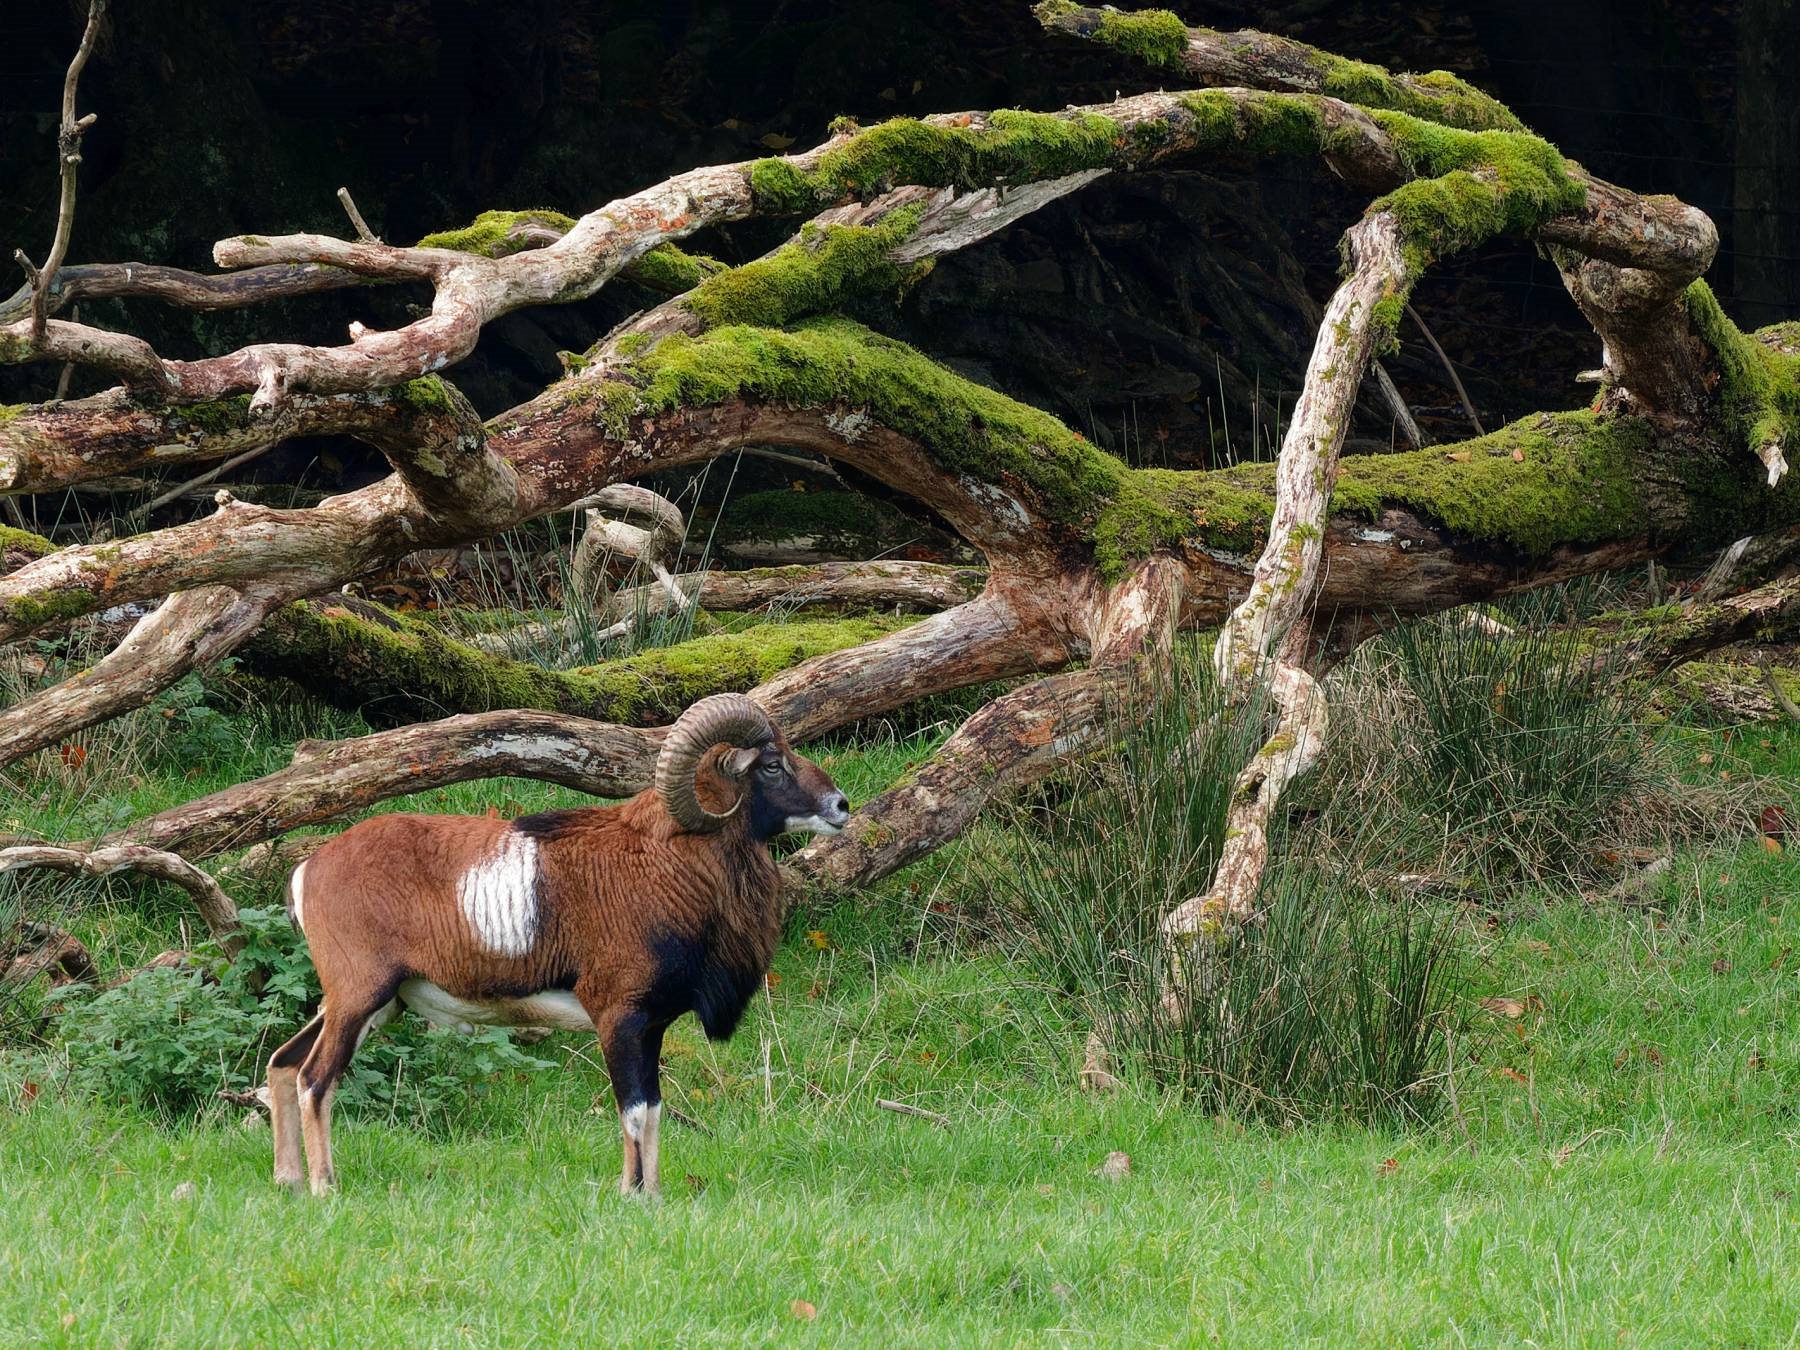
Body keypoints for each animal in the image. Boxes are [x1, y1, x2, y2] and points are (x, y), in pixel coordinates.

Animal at [268, 693, 850, 1197]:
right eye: (771, 765)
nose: (841, 806)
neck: (665, 867)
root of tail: (308, 870)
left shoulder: (652, 1027)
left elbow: (653, 1111)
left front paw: (654, 1198)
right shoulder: (619, 1018)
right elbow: (632, 1112)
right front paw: (631, 1196)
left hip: (369, 1007)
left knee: (284, 1064)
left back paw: (289, 1182)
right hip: (358, 998)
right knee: (315, 1081)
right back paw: (323, 1187)